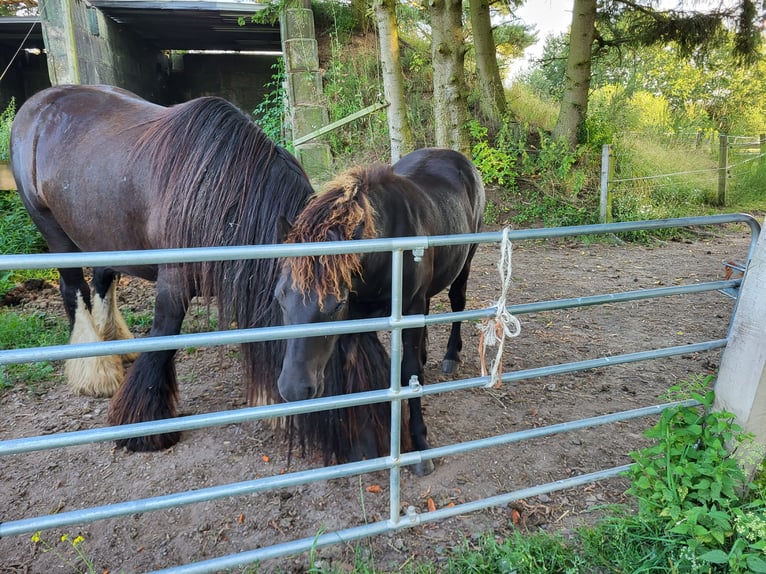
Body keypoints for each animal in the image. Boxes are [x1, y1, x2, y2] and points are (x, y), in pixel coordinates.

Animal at [9, 85, 316, 454]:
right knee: (74, 291)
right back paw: (95, 371)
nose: (303, 392)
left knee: (102, 283)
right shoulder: (175, 282)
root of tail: (38, 103)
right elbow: (163, 339)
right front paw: (142, 426)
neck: (222, 192)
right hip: (56, 234)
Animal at [274, 148, 486, 476]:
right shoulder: (358, 318)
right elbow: (354, 365)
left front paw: (420, 444)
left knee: (457, 300)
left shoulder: (405, 308)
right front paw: (359, 443)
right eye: (280, 297)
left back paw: (451, 355)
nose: (295, 389)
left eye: (336, 303)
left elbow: (409, 371)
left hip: (466, 260)